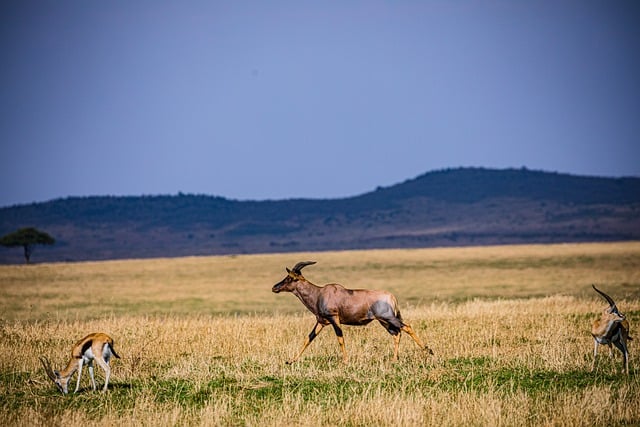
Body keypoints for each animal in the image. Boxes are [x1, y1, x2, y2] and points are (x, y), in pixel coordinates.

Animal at [272, 260, 432, 364]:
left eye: (290, 278)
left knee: (406, 327)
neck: (319, 293)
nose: (275, 287)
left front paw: (345, 361)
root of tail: (392, 296)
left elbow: (340, 338)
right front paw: (290, 361)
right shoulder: (321, 322)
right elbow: (308, 339)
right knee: (397, 333)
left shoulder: (334, 319)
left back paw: (428, 351)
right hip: (384, 321)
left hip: (388, 318)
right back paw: (394, 359)